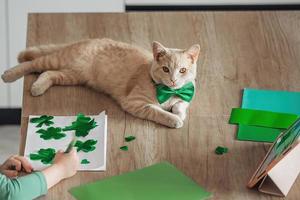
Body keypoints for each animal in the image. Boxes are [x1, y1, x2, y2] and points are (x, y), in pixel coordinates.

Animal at [2, 38, 200, 129]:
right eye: (166, 69)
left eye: (182, 70)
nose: (173, 79)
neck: (167, 91)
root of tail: (89, 40)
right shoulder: (135, 103)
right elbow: (158, 111)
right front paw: (174, 119)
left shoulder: (186, 95)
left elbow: (181, 104)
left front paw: (179, 113)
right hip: (57, 61)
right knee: (32, 64)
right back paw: (9, 75)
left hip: (71, 75)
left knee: (47, 73)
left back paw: (38, 86)